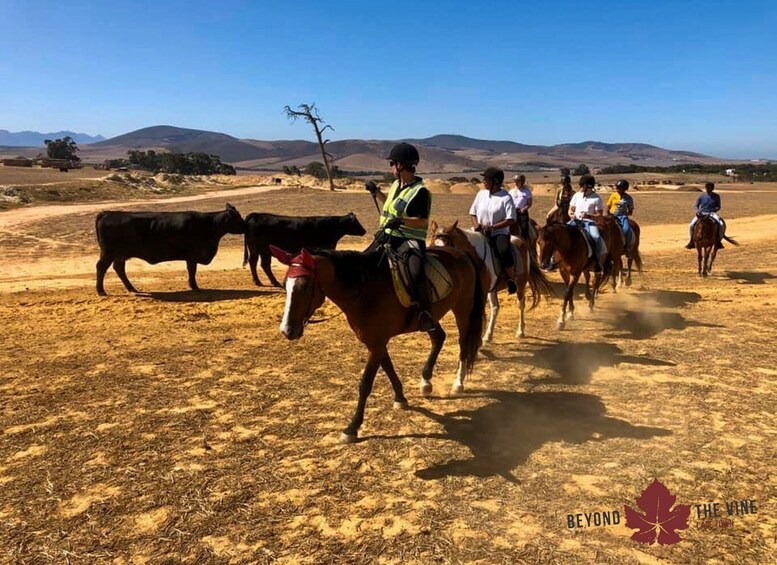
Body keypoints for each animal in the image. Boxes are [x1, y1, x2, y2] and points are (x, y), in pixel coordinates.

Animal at [95, 205, 244, 298]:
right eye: (238, 218)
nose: (245, 226)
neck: (208, 224)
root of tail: (107, 213)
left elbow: (191, 270)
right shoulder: (192, 255)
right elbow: (192, 270)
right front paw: (194, 286)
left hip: (119, 255)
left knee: (119, 268)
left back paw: (132, 288)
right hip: (109, 253)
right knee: (101, 267)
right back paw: (101, 291)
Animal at [272, 245, 484, 442]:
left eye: (305, 287)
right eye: (284, 285)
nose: (286, 330)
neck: (364, 290)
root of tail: (461, 253)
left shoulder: (377, 344)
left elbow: (365, 384)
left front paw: (352, 428)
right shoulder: (375, 342)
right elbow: (388, 368)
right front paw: (400, 398)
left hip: (463, 309)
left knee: (464, 344)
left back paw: (458, 383)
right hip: (430, 318)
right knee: (438, 338)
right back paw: (426, 382)